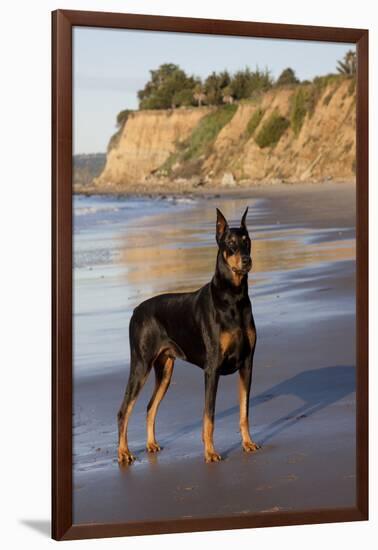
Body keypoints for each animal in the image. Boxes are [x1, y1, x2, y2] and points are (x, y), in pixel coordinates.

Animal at [117, 208, 260, 466]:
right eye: (230, 243)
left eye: (247, 241)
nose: (247, 260)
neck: (234, 297)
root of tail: (136, 311)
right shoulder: (212, 369)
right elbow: (209, 416)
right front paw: (210, 453)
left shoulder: (247, 363)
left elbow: (244, 411)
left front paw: (247, 443)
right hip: (141, 364)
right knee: (124, 410)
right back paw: (123, 453)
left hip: (165, 370)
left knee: (150, 407)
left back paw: (151, 444)